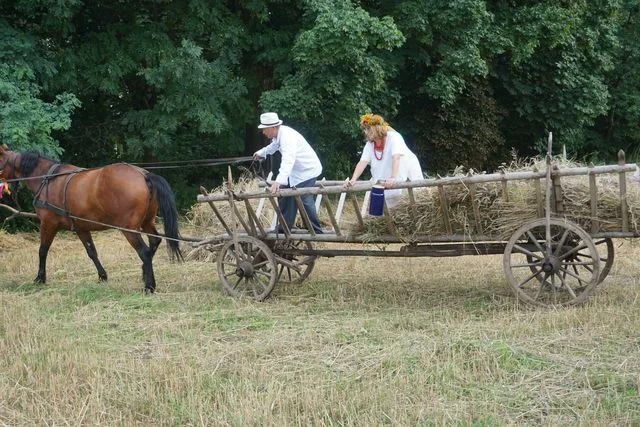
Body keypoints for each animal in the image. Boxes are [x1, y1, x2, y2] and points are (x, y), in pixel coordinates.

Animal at [0, 144, 181, 294]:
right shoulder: (81, 227)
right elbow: (91, 252)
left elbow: (42, 250)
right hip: (146, 222)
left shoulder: (48, 224)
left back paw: (149, 286)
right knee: (154, 243)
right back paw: (145, 274)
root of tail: (144, 174)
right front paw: (102, 276)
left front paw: (40, 278)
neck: (48, 179)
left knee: (144, 251)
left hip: (129, 229)